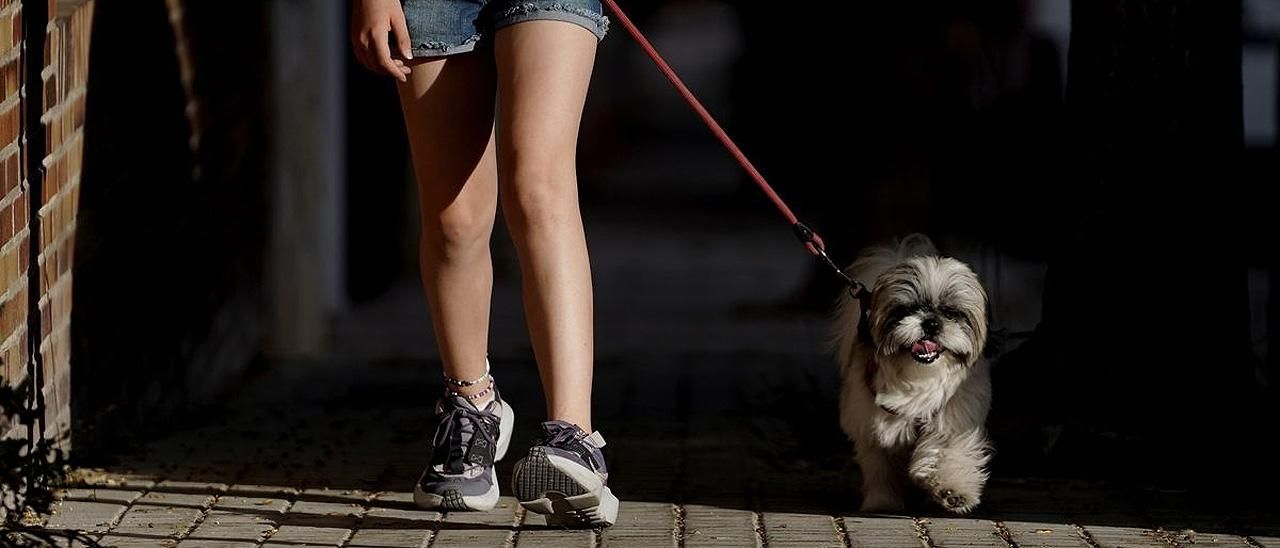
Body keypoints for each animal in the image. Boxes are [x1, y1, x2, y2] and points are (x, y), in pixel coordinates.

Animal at [834, 234, 993, 514]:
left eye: (951, 313)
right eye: (906, 310)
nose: (931, 322)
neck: (920, 376)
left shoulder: (954, 419)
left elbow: (946, 451)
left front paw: (955, 492)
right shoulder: (874, 427)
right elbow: (880, 469)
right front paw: (882, 502)